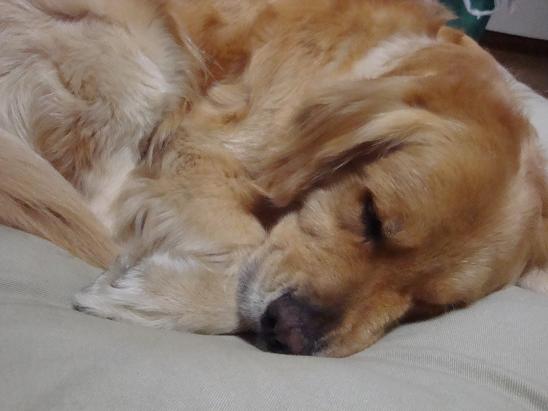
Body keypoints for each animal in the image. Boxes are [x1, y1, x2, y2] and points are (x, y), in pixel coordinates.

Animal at [1, 0, 547, 357]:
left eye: (433, 305)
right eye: (369, 214)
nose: (290, 332)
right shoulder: (194, 150)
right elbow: (245, 248)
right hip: (137, 48)